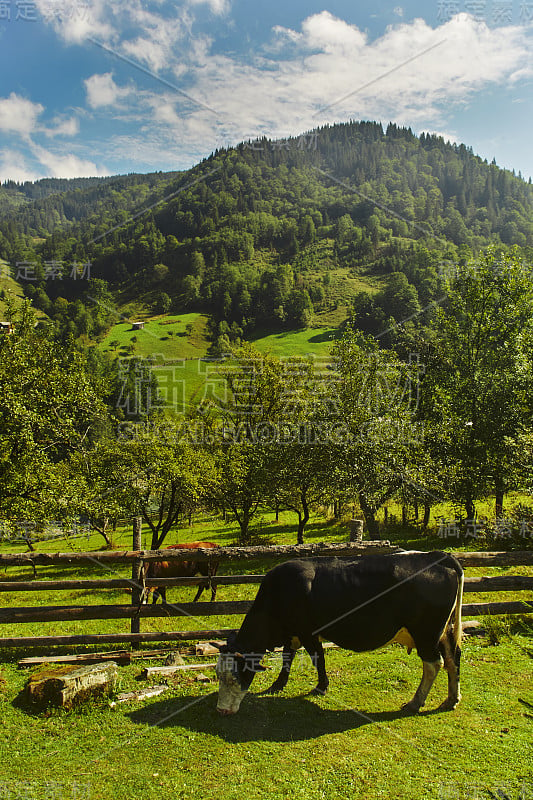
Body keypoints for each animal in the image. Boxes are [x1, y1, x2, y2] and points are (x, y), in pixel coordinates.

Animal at [215, 552, 462, 716]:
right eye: (218, 674)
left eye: (233, 677)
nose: (221, 710)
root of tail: (437, 557)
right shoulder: (293, 632)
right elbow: (287, 657)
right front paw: (278, 684)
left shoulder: (308, 632)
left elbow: (318, 658)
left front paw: (321, 686)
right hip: (443, 632)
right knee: (452, 658)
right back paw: (451, 699)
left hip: (426, 633)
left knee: (434, 664)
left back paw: (415, 702)